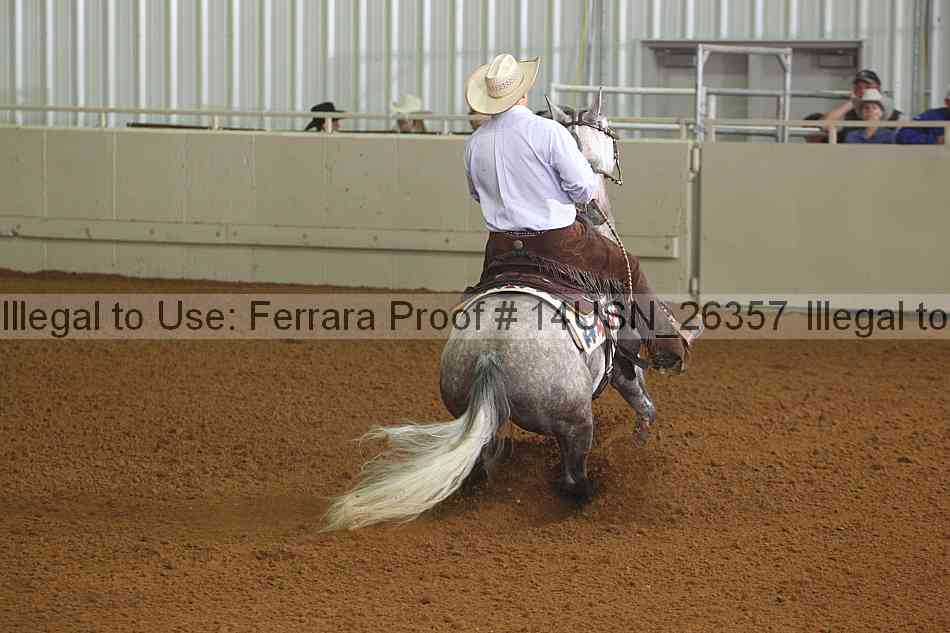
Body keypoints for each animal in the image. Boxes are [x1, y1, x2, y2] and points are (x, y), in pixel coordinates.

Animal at [322, 90, 659, 531]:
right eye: (608, 128)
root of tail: (491, 355)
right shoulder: (623, 363)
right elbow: (641, 397)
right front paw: (642, 436)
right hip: (574, 421)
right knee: (573, 477)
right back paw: (586, 496)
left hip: (474, 412)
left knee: (479, 465)